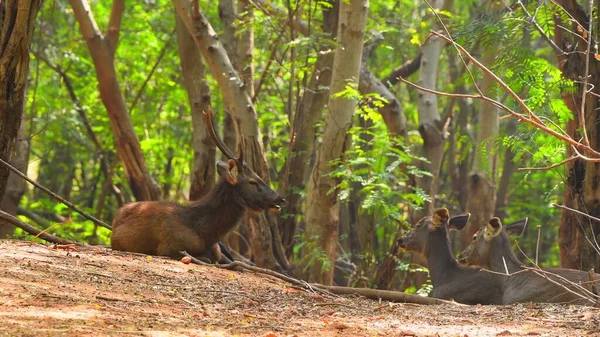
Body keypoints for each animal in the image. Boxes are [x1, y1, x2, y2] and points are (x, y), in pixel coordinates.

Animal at [110, 107, 286, 262]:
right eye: (253, 181)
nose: (280, 199)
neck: (205, 233)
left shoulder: (217, 250)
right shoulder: (169, 247)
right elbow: (206, 258)